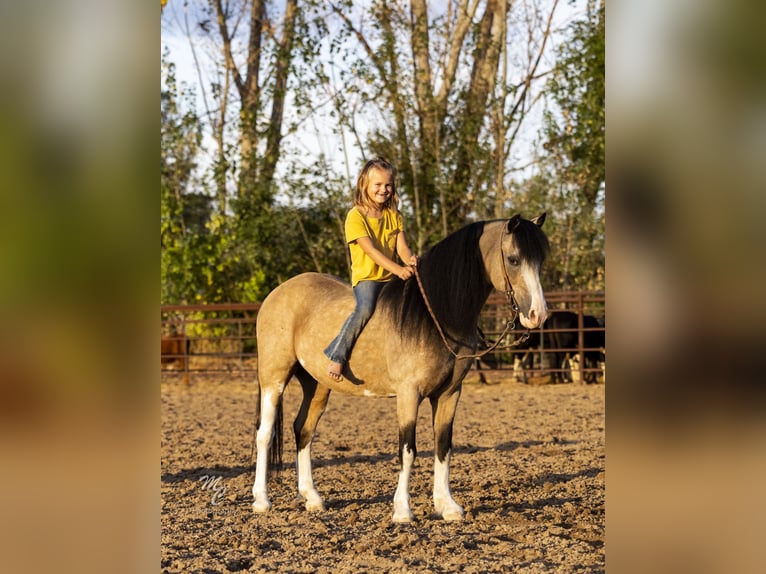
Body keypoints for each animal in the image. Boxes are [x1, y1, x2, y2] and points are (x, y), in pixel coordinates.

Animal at [255, 214, 548, 524]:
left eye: (541, 260)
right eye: (514, 259)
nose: (538, 315)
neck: (436, 316)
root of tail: (277, 293)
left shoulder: (449, 394)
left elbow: (443, 445)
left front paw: (447, 506)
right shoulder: (409, 394)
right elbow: (407, 450)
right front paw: (403, 510)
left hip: (318, 384)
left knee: (304, 430)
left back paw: (312, 498)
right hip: (274, 378)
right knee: (265, 433)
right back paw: (261, 500)